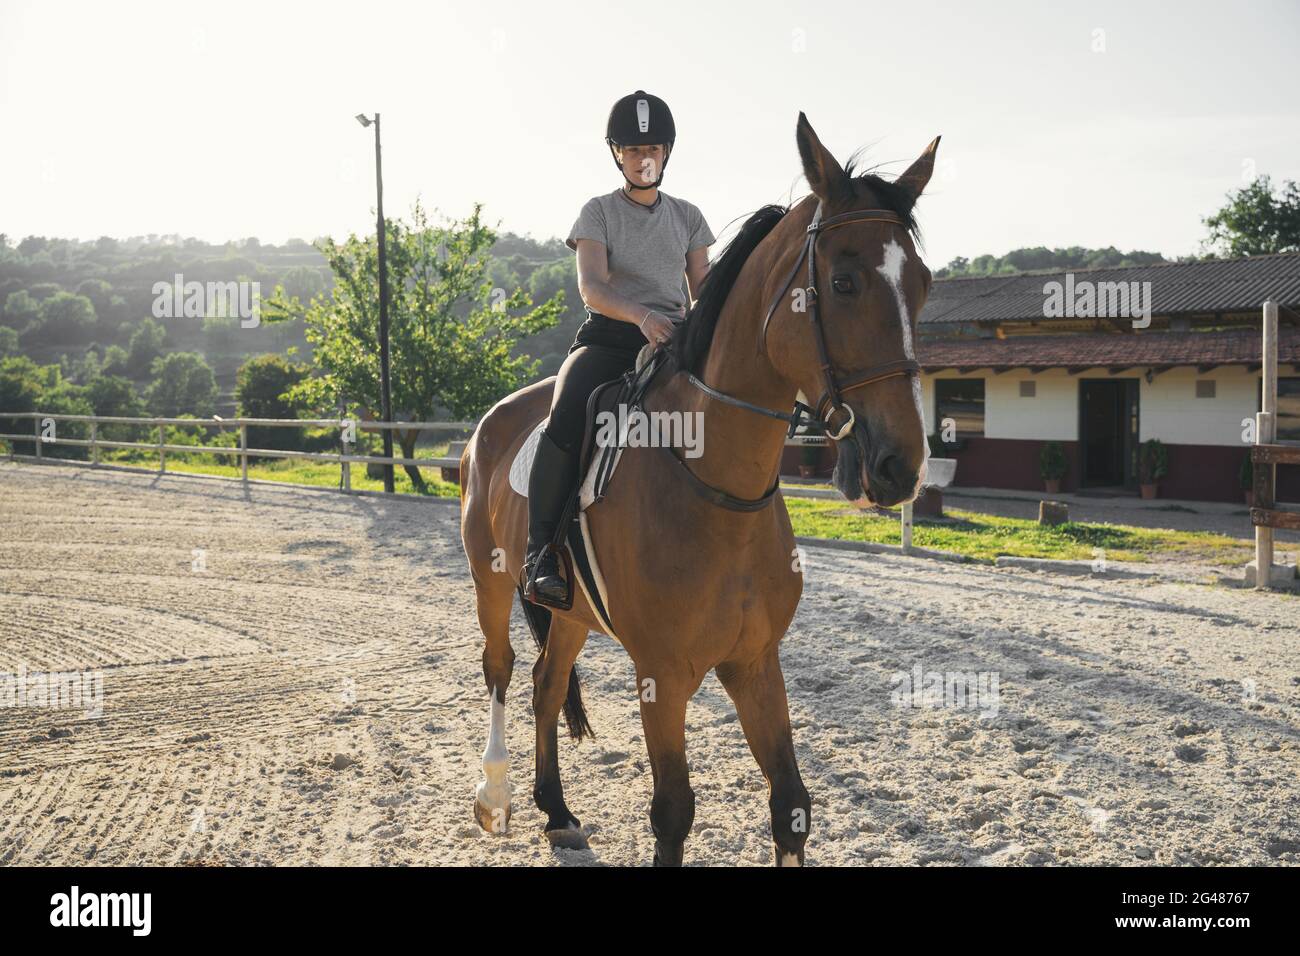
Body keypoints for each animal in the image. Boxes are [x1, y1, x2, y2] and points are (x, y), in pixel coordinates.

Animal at [459, 113, 938, 866]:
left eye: (922, 284)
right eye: (843, 281)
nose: (900, 465)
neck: (718, 491)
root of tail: (492, 420)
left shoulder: (755, 662)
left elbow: (791, 803)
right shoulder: (663, 673)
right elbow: (674, 812)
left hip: (570, 614)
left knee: (545, 685)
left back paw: (556, 809)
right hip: (491, 580)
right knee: (502, 670)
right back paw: (496, 797)